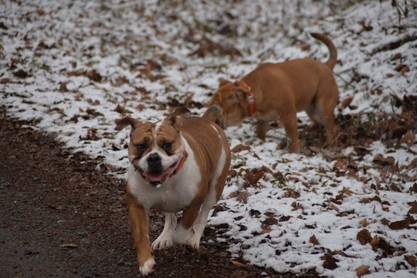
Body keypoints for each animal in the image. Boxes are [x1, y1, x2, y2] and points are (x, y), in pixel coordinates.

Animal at [115, 106, 229, 276]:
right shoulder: (136, 205)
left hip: (214, 189)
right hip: (167, 203)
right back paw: (164, 237)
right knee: (170, 217)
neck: (167, 181)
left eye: (167, 145)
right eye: (141, 146)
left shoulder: (194, 203)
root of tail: (207, 120)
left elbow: (182, 231)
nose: (153, 158)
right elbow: (141, 236)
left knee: (202, 216)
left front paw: (182, 237)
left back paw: (193, 240)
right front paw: (146, 262)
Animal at [210, 34, 340, 154]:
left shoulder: (288, 115)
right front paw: (261, 141)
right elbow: (260, 131)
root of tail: (326, 66)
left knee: (332, 129)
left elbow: (292, 138)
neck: (253, 93)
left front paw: (292, 153)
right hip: (313, 111)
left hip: (323, 106)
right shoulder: (263, 119)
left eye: (219, 108)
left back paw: (328, 145)